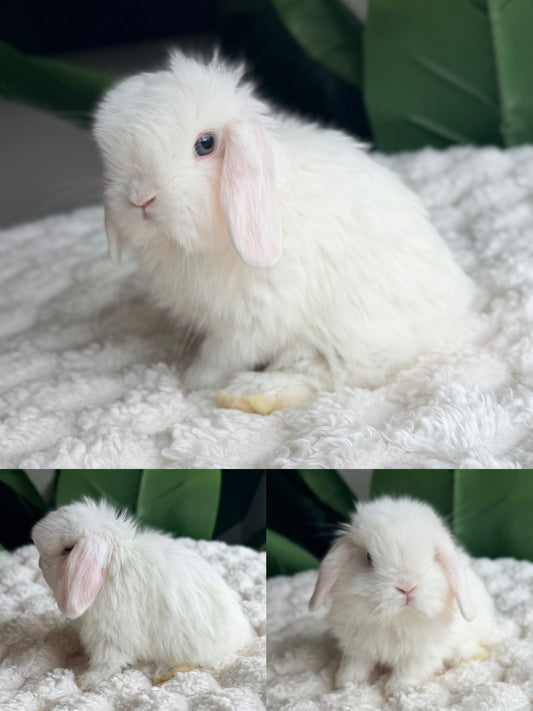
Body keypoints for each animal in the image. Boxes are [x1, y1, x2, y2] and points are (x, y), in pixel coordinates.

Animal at [31, 497, 256, 689]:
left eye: (68, 549)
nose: (40, 563)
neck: (109, 575)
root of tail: (243, 634)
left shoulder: (111, 639)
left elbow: (106, 663)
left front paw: (85, 679)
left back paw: (167, 672)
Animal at [93, 51, 481, 415]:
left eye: (205, 144)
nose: (140, 197)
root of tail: (454, 314)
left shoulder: (251, 320)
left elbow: (222, 354)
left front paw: (193, 379)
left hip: (347, 337)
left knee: (325, 374)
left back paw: (250, 392)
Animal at [308, 496, 495, 695]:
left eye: (434, 556)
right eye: (368, 557)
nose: (407, 587)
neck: (396, 618)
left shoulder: (422, 652)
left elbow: (409, 669)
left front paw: (397, 689)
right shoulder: (357, 646)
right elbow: (356, 663)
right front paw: (347, 684)